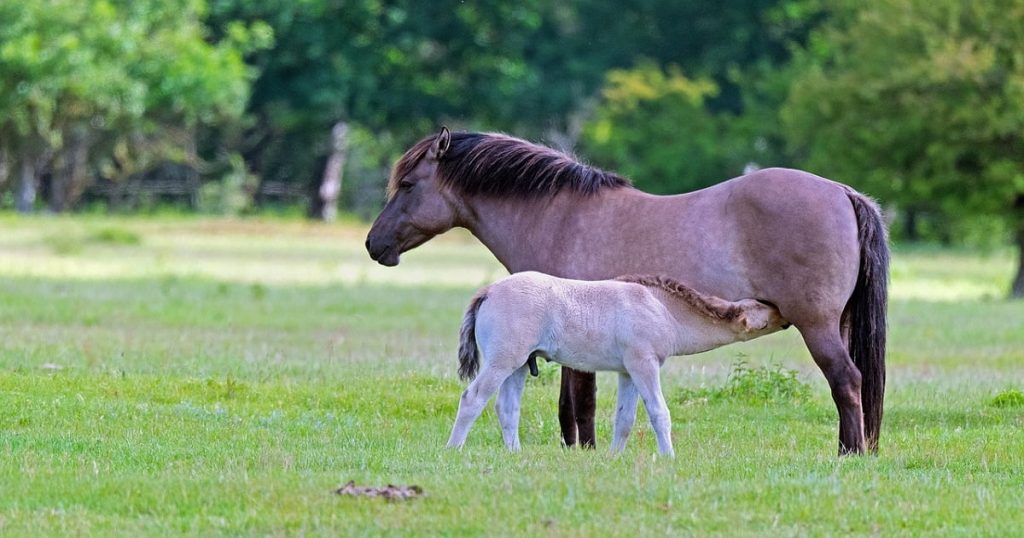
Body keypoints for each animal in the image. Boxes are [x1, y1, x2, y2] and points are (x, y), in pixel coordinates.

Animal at [444, 270, 786, 454]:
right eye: (762, 308)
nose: (783, 313)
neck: (661, 308)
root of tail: (488, 291)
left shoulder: (628, 372)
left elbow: (625, 419)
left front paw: (614, 457)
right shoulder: (644, 364)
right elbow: (659, 413)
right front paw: (669, 458)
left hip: (516, 367)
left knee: (507, 407)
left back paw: (515, 453)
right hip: (503, 361)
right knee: (472, 398)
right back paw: (453, 449)